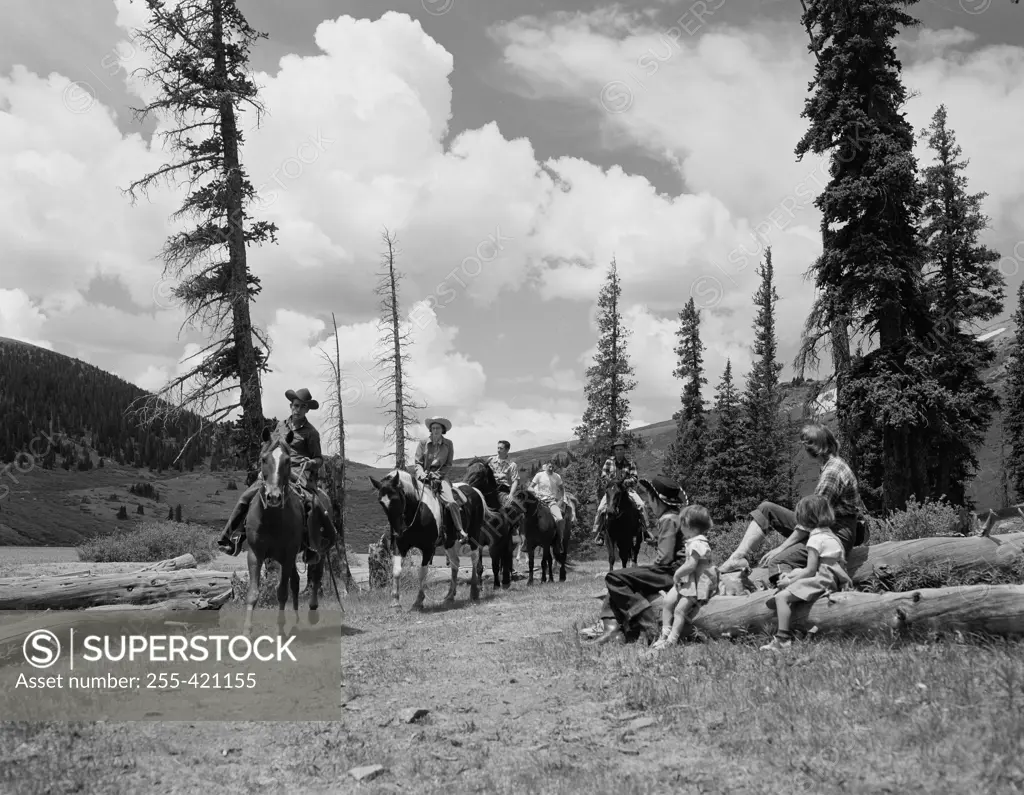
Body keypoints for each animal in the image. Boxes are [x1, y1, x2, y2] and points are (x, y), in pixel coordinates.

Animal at [372, 471, 491, 610]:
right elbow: (396, 571)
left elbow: (423, 573)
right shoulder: (400, 546)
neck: (417, 512)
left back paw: (474, 592)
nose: (397, 532)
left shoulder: (428, 548)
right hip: (449, 542)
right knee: (455, 563)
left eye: (396, 499)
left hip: (474, 535)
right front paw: (395, 602)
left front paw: (418, 601)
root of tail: (474, 490)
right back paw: (450, 596)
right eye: (381, 502)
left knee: (474, 559)